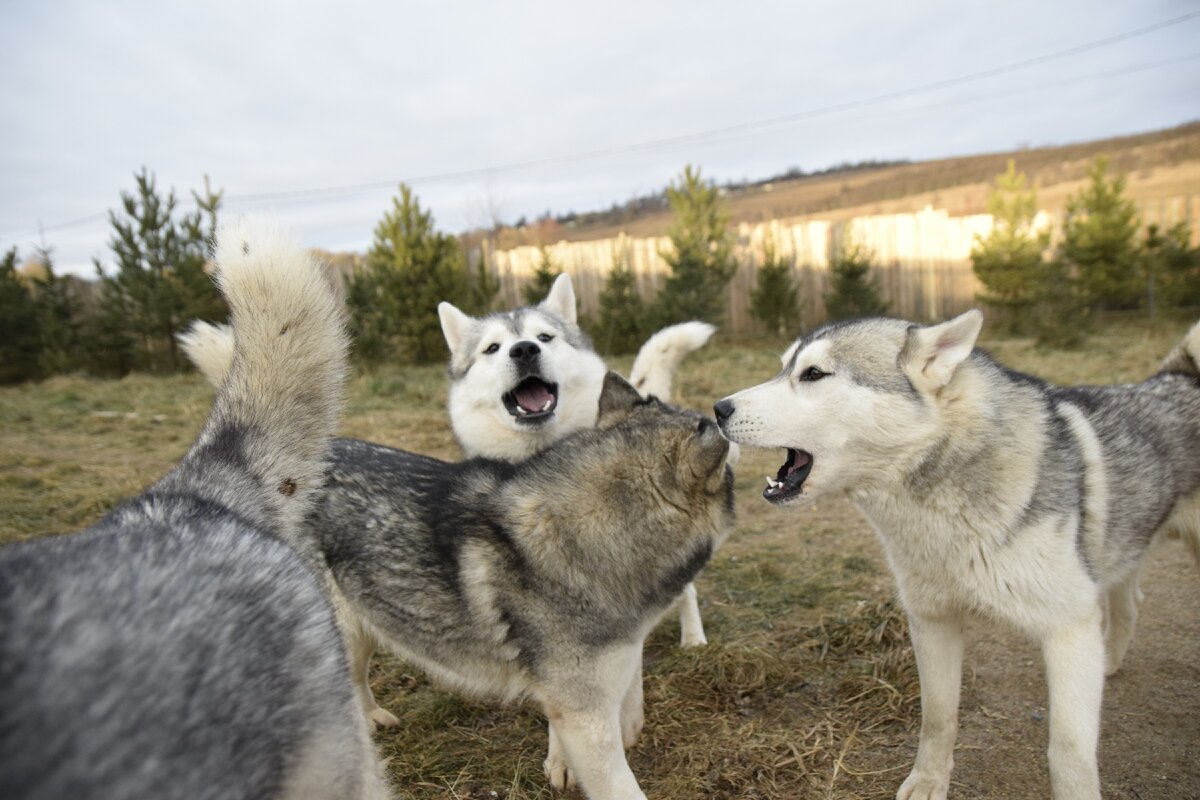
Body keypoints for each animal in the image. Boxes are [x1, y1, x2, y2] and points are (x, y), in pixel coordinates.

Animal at [715, 311, 1195, 800]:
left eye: (813, 374)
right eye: (782, 369)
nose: (718, 409)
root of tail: (1178, 376)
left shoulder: (1069, 630)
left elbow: (1068, 754)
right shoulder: (933, 621)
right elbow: (938, 718)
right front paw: (929, 781)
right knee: (1129, 606)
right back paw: (1110, 664)